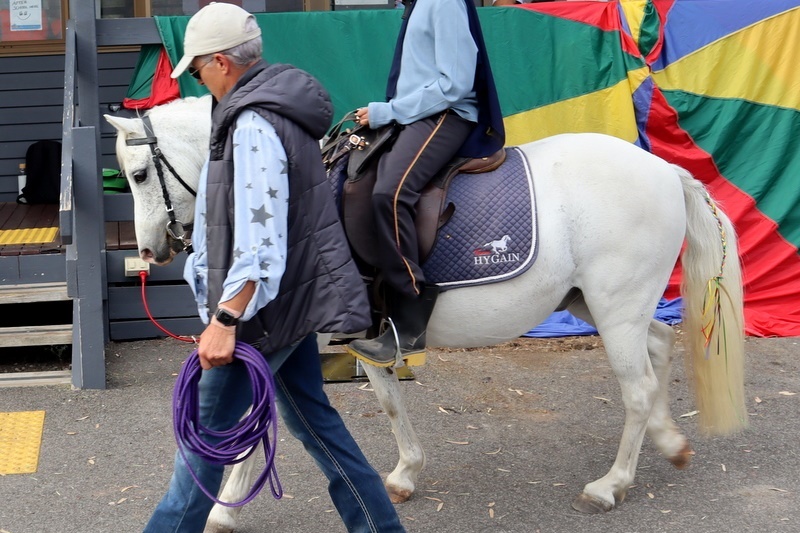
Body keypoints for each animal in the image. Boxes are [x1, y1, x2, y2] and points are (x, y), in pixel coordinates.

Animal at [103, 96, 748, 532]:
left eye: (138, 175)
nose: (149, 251)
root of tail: (663, 169)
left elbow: (253, 417)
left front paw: (221, 509)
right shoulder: (356, 334)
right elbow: (385, 399)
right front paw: (403, 473)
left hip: (614, 309)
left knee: (637, 389)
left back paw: (611, 485)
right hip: (600, 303)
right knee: (660, 348)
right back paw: (670, 442)